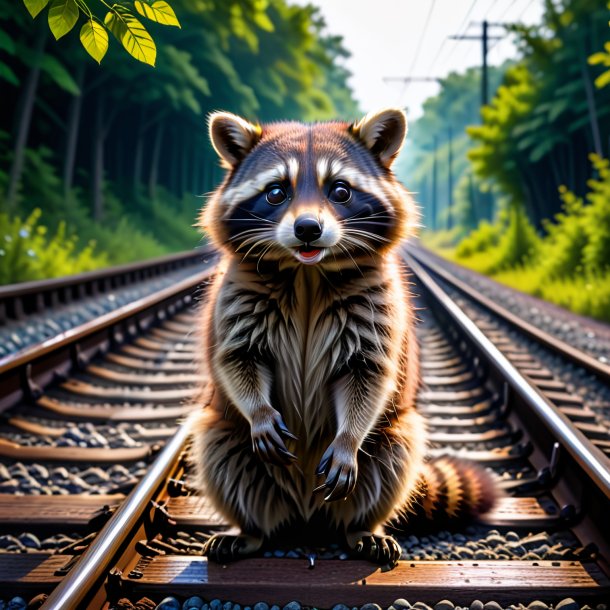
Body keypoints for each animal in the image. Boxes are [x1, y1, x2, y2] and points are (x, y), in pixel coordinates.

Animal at [190, 105, 494, 564]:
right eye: (276, 192)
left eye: (340, 190)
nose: (308, 229)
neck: (307, 272)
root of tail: (305, 516)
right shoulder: (235, 293)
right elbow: (236, 358)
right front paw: (259, 411)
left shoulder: (378, 304)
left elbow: (368, 374)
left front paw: (349, 438)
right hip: (228, 437)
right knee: (218, 449)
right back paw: (250, 530)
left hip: (390, 441)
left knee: (396, 453)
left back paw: (361, 527)